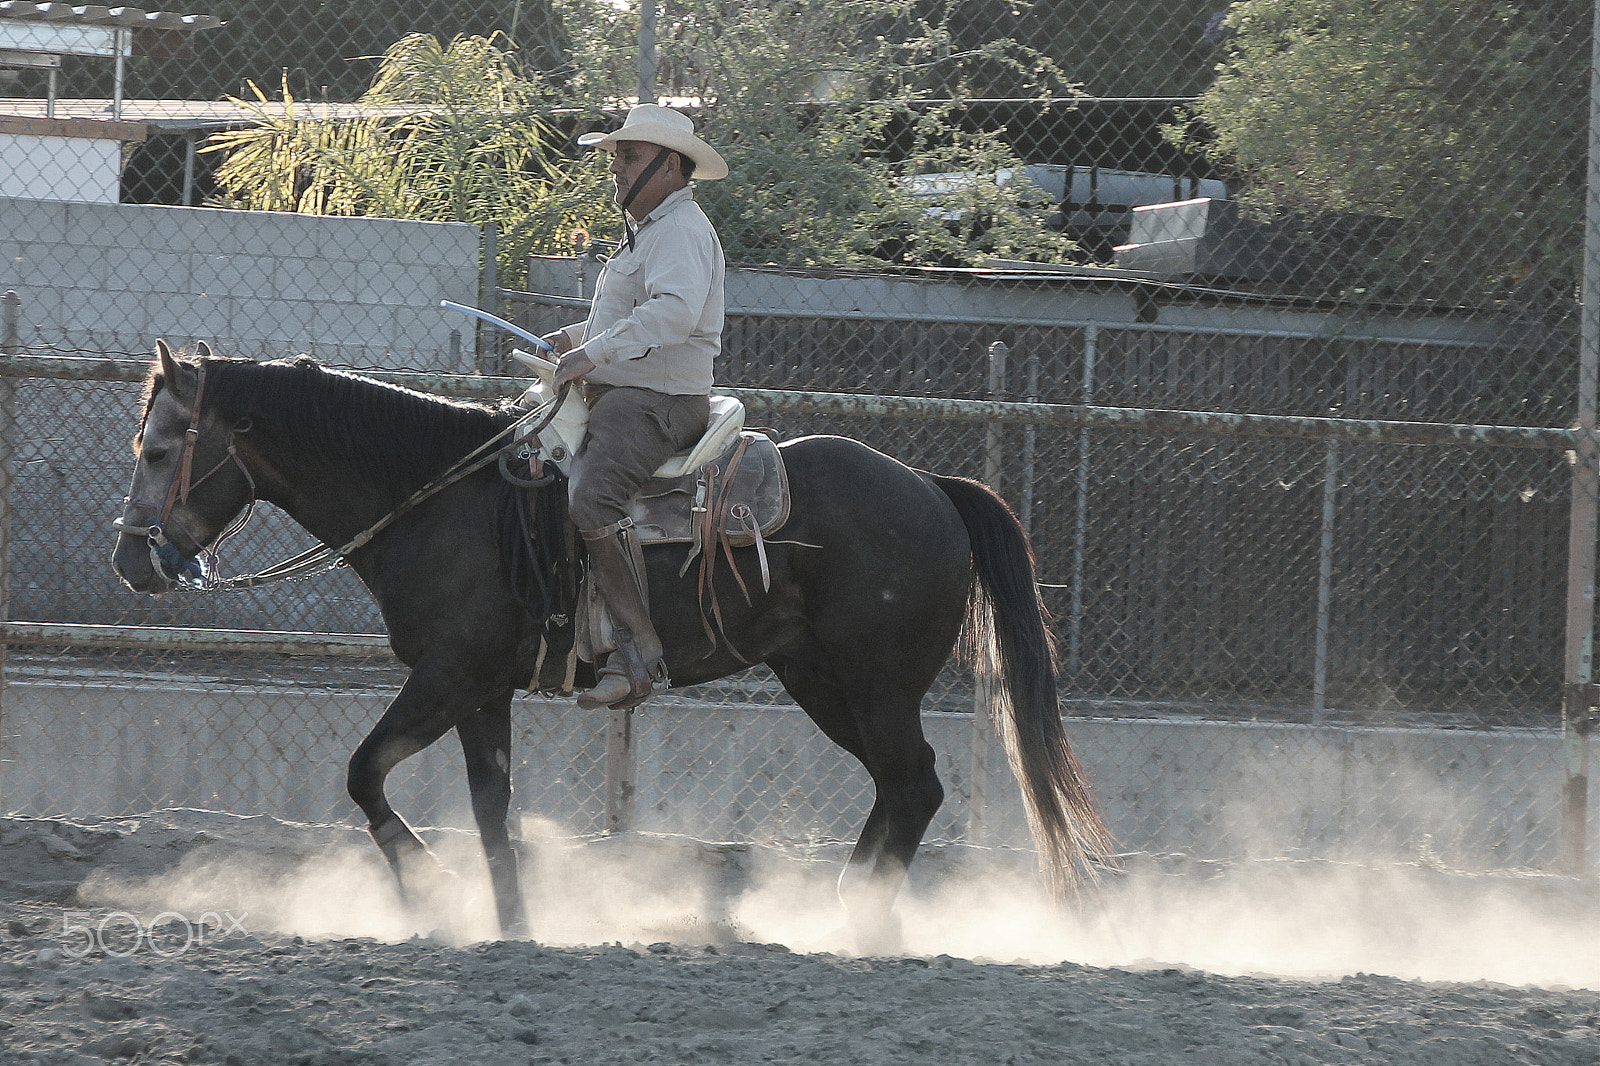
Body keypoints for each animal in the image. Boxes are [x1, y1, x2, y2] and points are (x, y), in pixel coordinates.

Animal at [111, 340, 1112, 949]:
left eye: (159, 449)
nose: (130, 559)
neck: (440, 501)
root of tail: (936, 489)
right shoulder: (483, 690)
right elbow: (491, 809)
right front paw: (510, 923)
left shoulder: (447, 674)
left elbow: (364, 771)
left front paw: (425, 889)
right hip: (822, 681)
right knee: (902, 788)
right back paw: (842, 907)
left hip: (874, 686)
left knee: (916, 784)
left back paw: (854, 917)